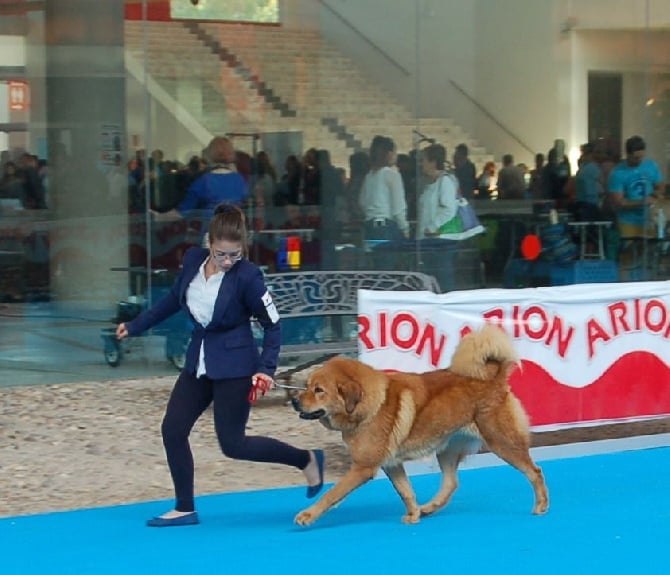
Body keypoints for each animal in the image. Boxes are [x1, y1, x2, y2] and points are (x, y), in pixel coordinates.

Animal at [294, 324, 552, 528]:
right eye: (307, 386)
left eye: (318, 390)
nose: (294, 401)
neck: (370, 405)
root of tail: (494, 378)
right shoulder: (392, 464)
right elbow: (406, 491)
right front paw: (414, 515)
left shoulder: (362, 468)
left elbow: (331, 494)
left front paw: (308, 515)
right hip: (447, 450)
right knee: (450, 484)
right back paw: (428, 508)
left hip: (502, 442)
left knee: (534, 472)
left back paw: (541, 506)